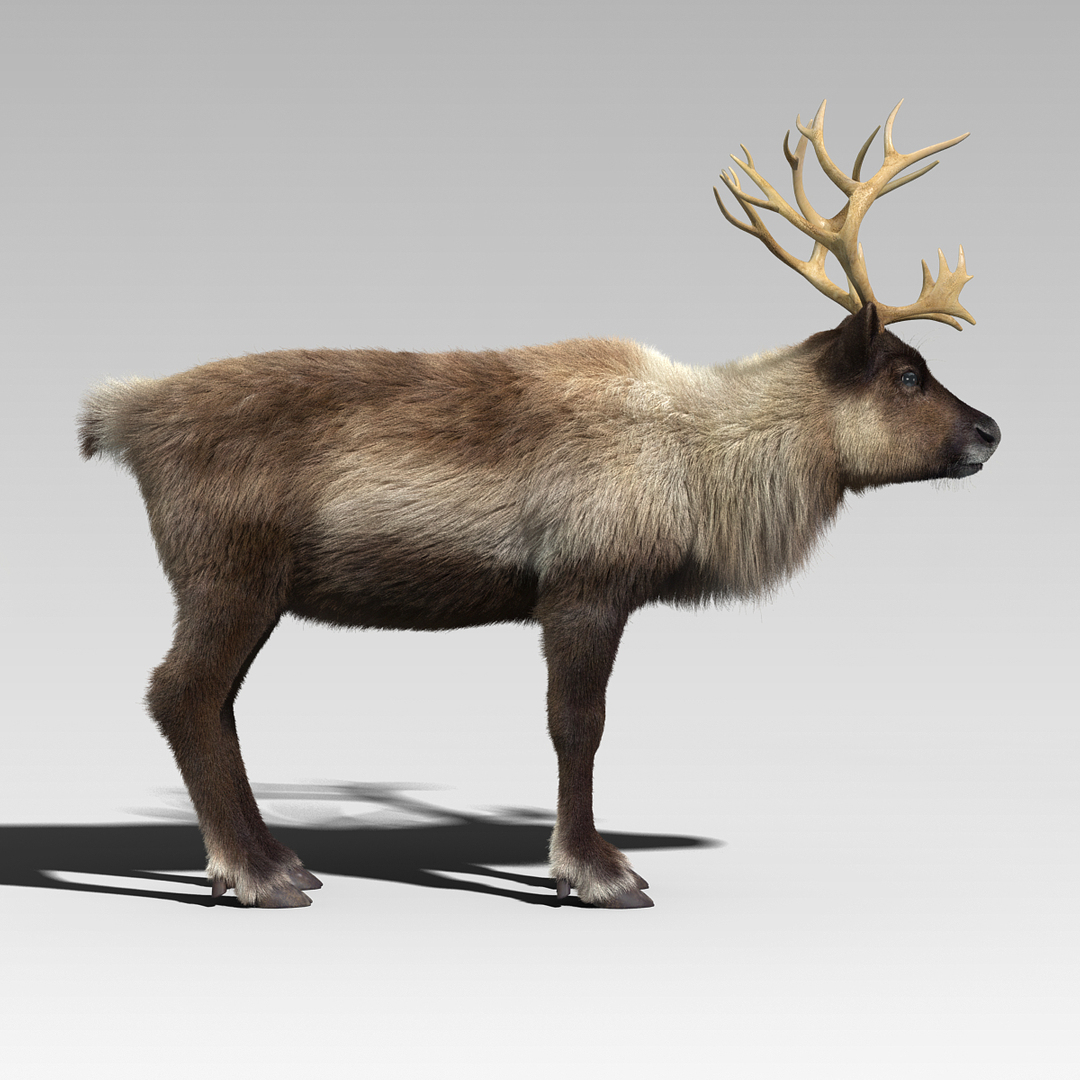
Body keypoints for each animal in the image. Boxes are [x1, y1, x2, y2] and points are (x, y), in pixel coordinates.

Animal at [79, 101, 1000, 909]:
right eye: (907, 374)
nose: (991, 431)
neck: (702, 464)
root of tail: (123, 415)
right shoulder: (584, 587)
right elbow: (577, 724)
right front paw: (596, 872)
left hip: (250, 588)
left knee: (218, 703)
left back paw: (280, 860)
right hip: (227, 572)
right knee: (181, 693)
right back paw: (253, 875)